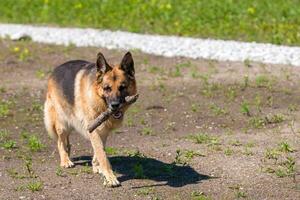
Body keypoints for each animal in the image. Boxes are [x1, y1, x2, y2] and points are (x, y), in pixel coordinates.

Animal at [43, 52, 137, 187]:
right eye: (107, 88)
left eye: (122, 87)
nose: (115, 105)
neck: (98, 99)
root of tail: (56, 69)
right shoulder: (94, 130)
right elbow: (102, 154)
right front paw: (110, 176)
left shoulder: (103, 131)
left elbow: (99, 150)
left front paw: (97, 167)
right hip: (63, 124)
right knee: (60, 142)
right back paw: (65, 160)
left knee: (67, 142)